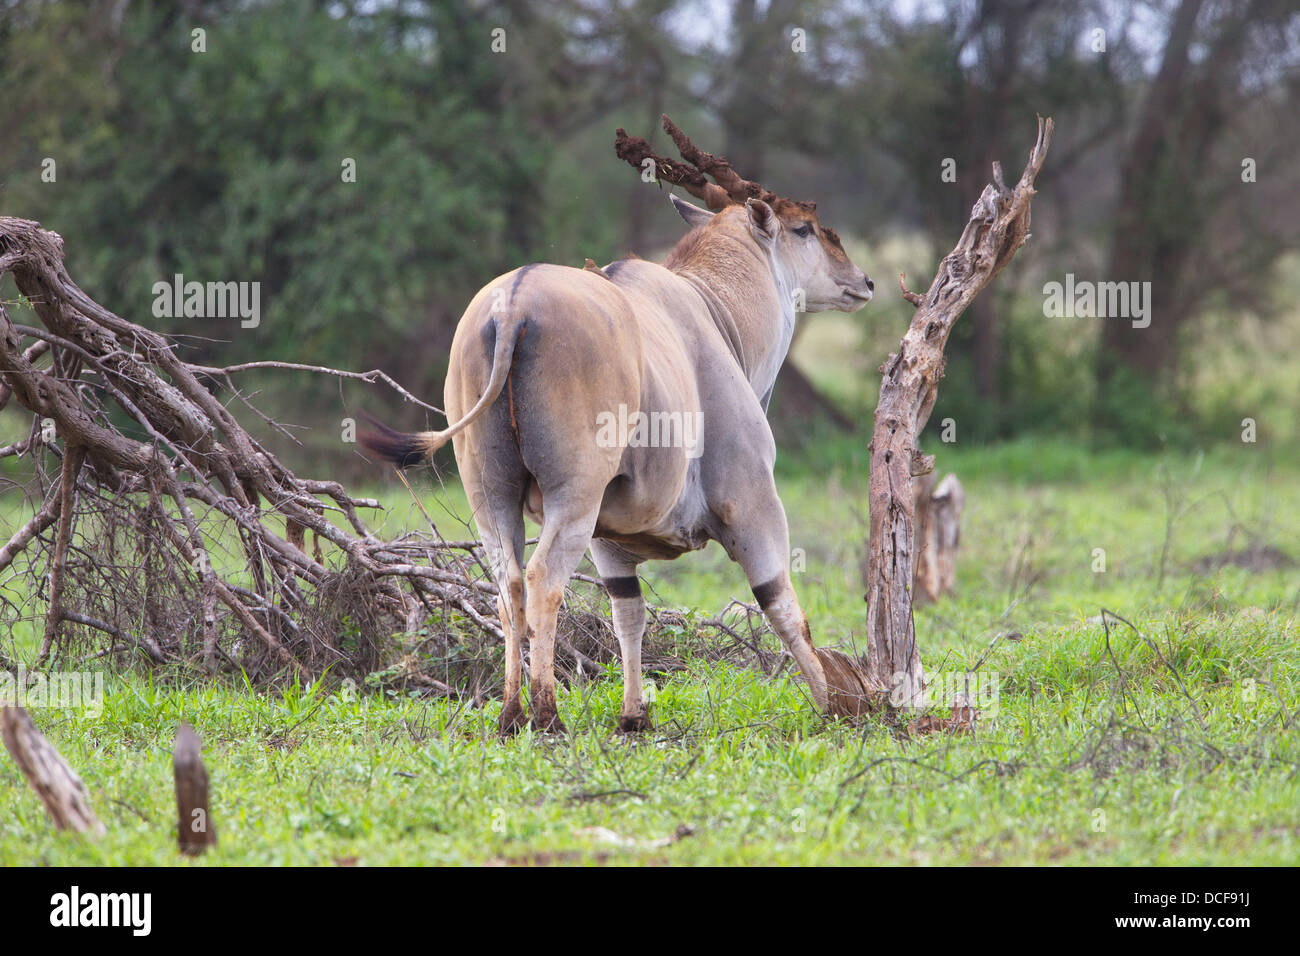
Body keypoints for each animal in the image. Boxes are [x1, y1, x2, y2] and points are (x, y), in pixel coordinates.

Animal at [361, 115, 878, 738]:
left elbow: (627, 612)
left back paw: (510, 713)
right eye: (805, 228)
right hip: (573, 495)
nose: (864, 282)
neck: (712, 309)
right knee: (543, 579)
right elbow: (781, 605)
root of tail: (512, 306)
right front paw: (834, 708)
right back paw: (547, 713)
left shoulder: (612, 541)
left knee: (508, 582)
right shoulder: (752, 501)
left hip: (493, 494)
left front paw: (634, 716)